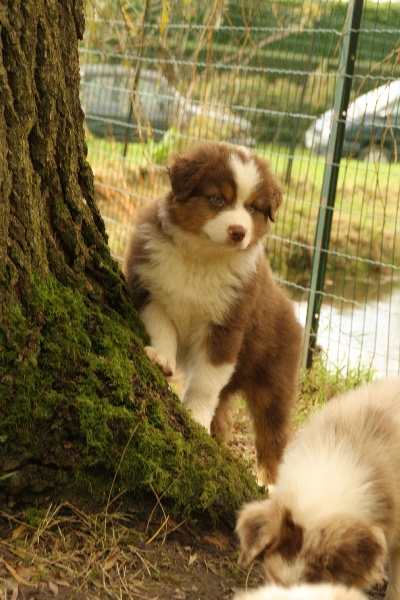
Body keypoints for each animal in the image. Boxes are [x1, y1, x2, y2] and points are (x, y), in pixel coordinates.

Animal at [124, 141, 303, 484]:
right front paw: (161, 358)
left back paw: (269, 484)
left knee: (273, 437)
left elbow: (205, 382)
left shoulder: (227, 325)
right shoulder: (149, 289)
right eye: (218, 199)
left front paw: (194, 416)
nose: (238, 232)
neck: (202, 256)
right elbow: (161, 327)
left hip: (275, 380)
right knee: (226, 421)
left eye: (252, 208)